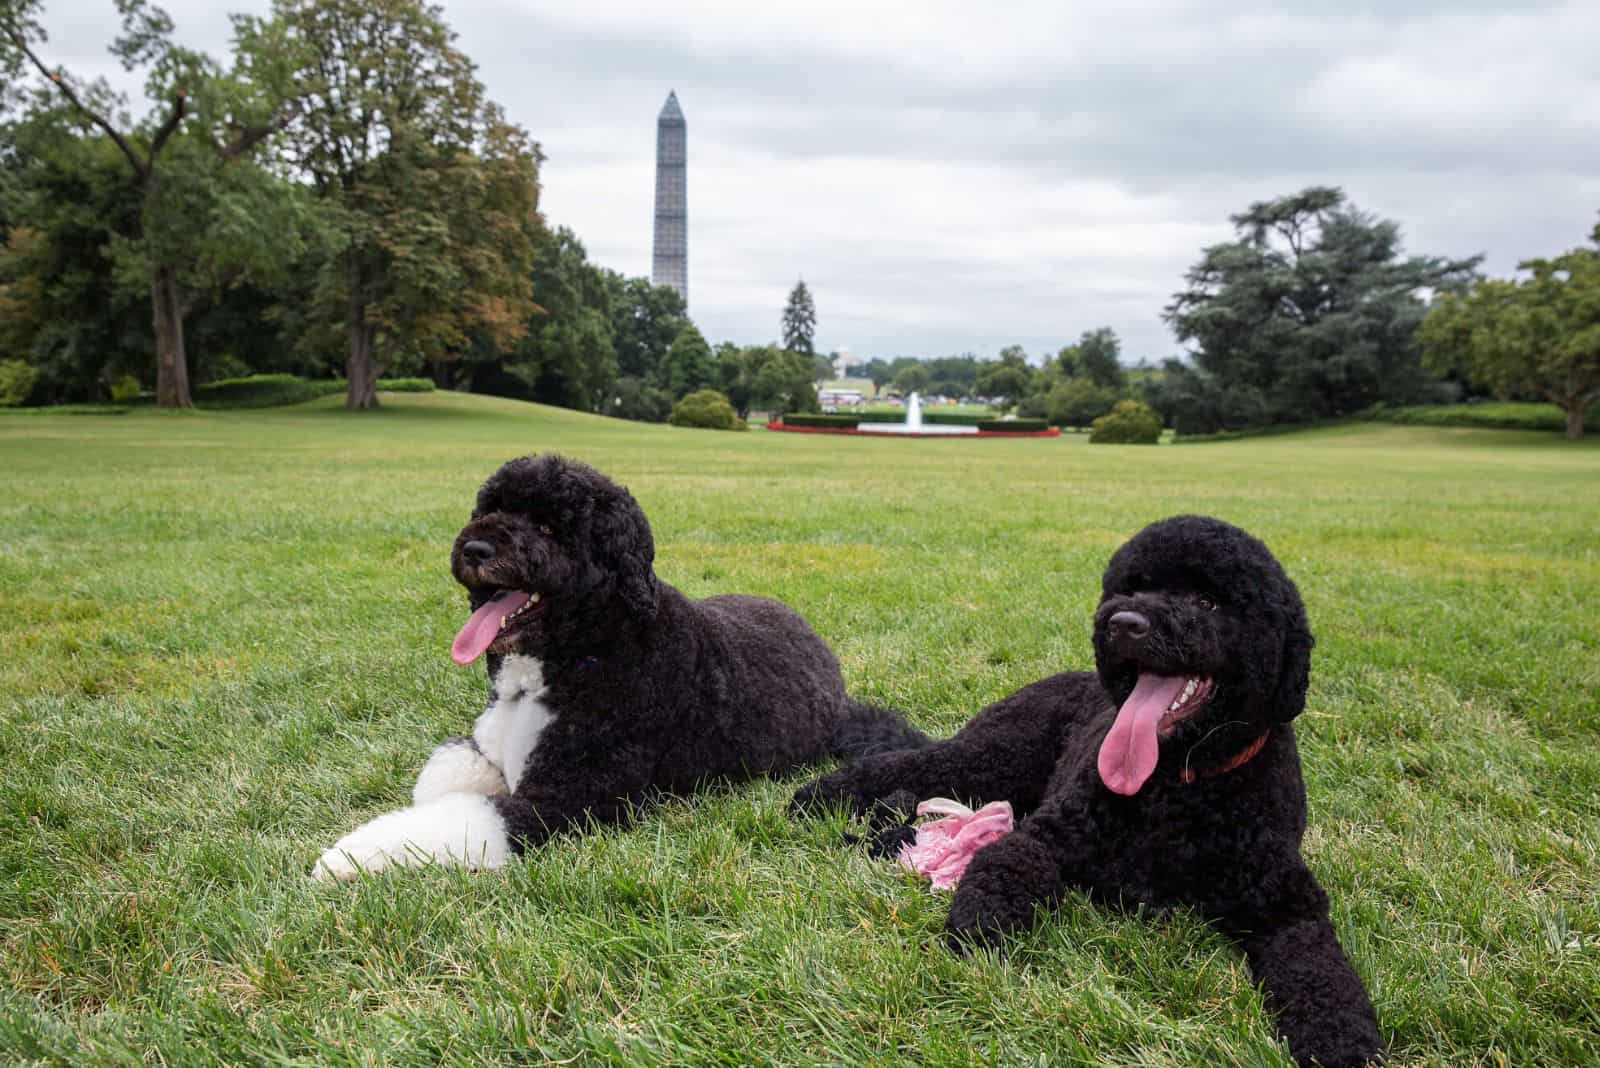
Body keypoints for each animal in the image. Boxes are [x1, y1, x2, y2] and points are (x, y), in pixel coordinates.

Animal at [315, 454, 928, 882]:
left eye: (550, 527)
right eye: (490, 507)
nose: (476, 548)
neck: (577, 655)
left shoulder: (569, 799)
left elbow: (466, 815)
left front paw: (348, 856)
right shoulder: (485, 745)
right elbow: (444, 778)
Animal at [793, 518, 1382, 1068]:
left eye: (1208, 601)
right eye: (1133, 587)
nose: (1124, 623)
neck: (1178, 782)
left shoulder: (1287, 903)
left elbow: (1322, 972)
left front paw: (1343, 1041)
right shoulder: (1048, 836)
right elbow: (1006, 864)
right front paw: (980, 927)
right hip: (993, 756)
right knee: (908, 762)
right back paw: (818, 798)